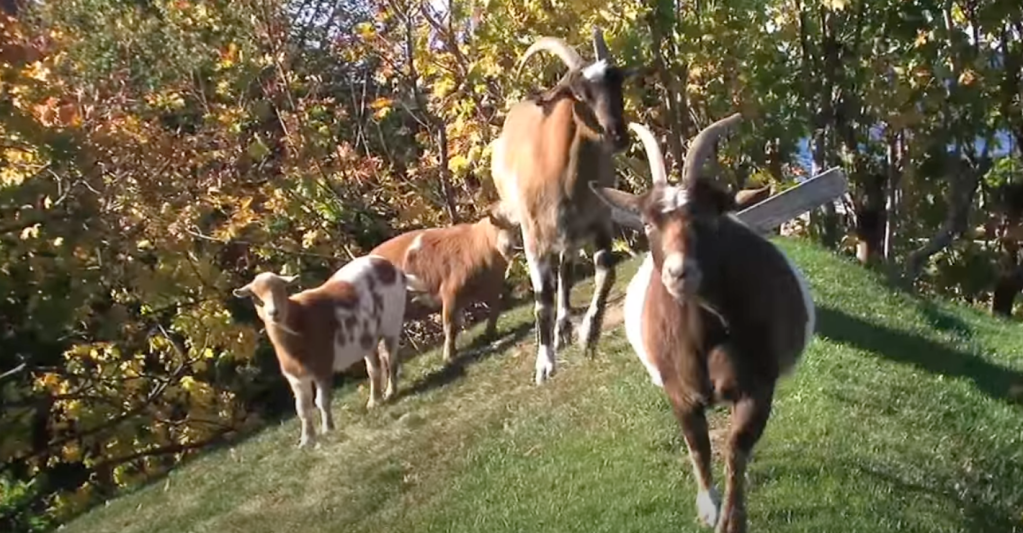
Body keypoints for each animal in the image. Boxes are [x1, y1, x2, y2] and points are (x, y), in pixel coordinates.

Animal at [234, 255, 415, 446]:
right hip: (368, 337)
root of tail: (391, 267)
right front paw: (306, 440)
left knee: (391, 359)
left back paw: (390, 392)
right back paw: (375, 401)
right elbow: (302, 408)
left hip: (392, 324)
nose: (273, 312)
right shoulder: (296, 377)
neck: (299, 321)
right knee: (374, 369)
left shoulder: (322, 366)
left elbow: (321, 401)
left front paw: (328, 429)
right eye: (254, 296)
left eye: (281, 289)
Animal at [593, 117, 814, 531]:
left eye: (710, 218)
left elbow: (736, 448)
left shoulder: (758, 388)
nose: (679, 273)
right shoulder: (679, 392)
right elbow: (699, 447)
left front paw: (731, 518)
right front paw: (708, 508)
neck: (705, 337)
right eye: (647, 223)